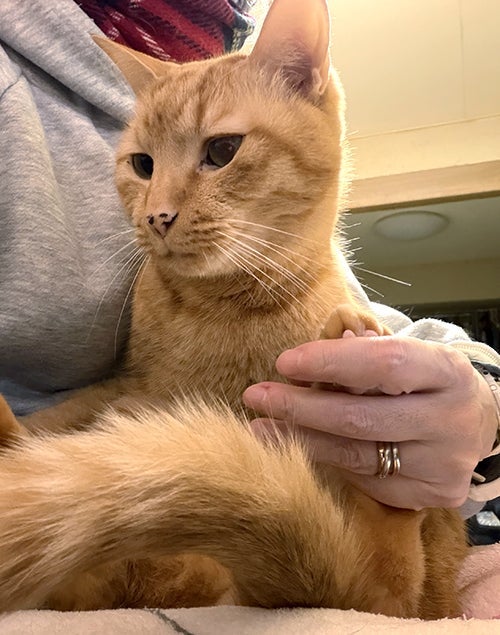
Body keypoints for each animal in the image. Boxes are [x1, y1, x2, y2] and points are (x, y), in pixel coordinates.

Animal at [0, 0, 466, 618]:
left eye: (221, 151)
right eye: (143, 165)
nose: (157, 216)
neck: (221, 309)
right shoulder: (131, 389)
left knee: (381, 578)